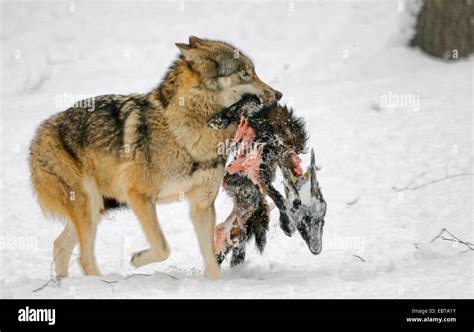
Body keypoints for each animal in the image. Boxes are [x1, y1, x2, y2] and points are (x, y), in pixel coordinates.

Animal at [28, 36, 282, 280]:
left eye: (253, 71)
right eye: (244, 72)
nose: (278, 95)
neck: (185, 133)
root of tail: (38, 135)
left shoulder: (202, 205)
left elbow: (210, 258)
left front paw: (215, 285)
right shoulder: (138, 196)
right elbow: (163, 247)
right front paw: (136, 260)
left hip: (97, 208)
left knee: (59, 246)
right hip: (88, 206)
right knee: (83, 257)